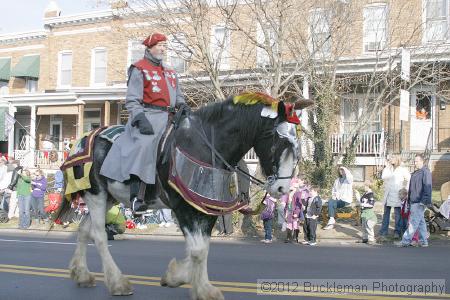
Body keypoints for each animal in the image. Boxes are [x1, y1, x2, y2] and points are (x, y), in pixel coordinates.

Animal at [61, 95, 308, 298]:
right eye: (279, 142)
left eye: (297, 145)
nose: (282, 188)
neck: (206, 146)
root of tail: (83, 140)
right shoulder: (182, 207)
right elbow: (198, 249)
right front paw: (201, 288)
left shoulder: (205, 207)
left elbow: (201, 248)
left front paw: (180, 277)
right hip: (96, 194)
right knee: (99, 235)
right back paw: (117, 282)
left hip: (108, 198)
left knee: (84, 230)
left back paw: (81, 274)